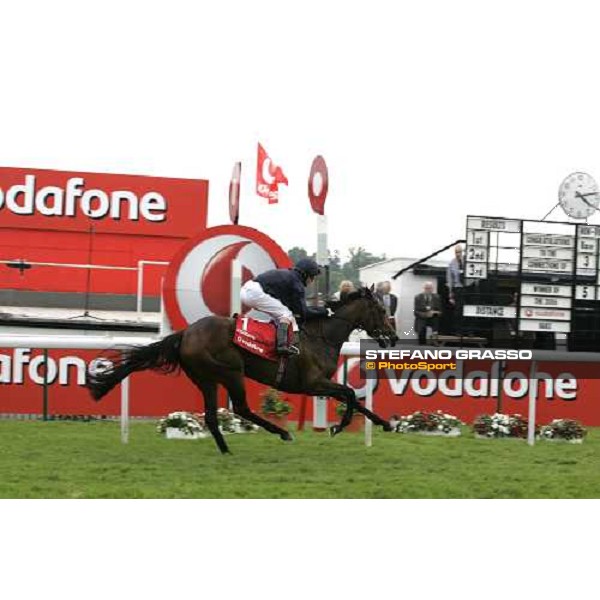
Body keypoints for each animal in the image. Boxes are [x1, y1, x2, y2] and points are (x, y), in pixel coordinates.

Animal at [86, 288, 396, 452]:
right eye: (381, 310)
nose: (392, 337)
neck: (321, 337)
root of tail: (186, 333)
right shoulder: (312, 383)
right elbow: (350, 395)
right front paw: (338, 427)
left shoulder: (320, 384)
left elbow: (354, 399)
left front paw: (385, 423)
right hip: (231, 371)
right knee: (242, 409)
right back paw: (281, 433)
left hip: (205, 378)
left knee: (213, 417)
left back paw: (226, 450)